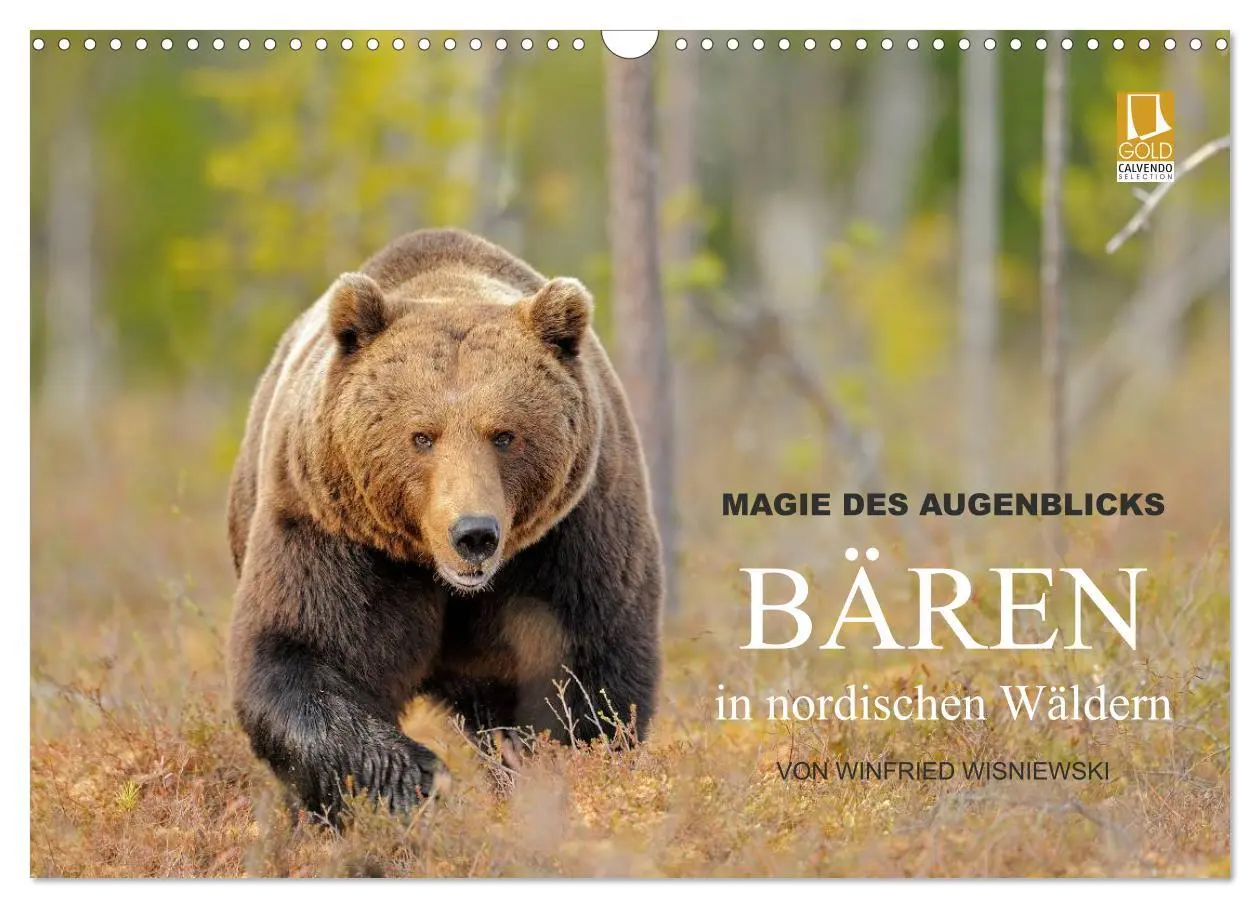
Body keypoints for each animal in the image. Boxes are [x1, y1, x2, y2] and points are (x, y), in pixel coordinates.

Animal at [226, 228, 663, 818]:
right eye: (421, 436)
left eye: (504, 434)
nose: (473, 534)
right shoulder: (332, 530)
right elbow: (301, 650)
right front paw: (417, 780)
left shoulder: (571, 536)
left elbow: (587, 677)